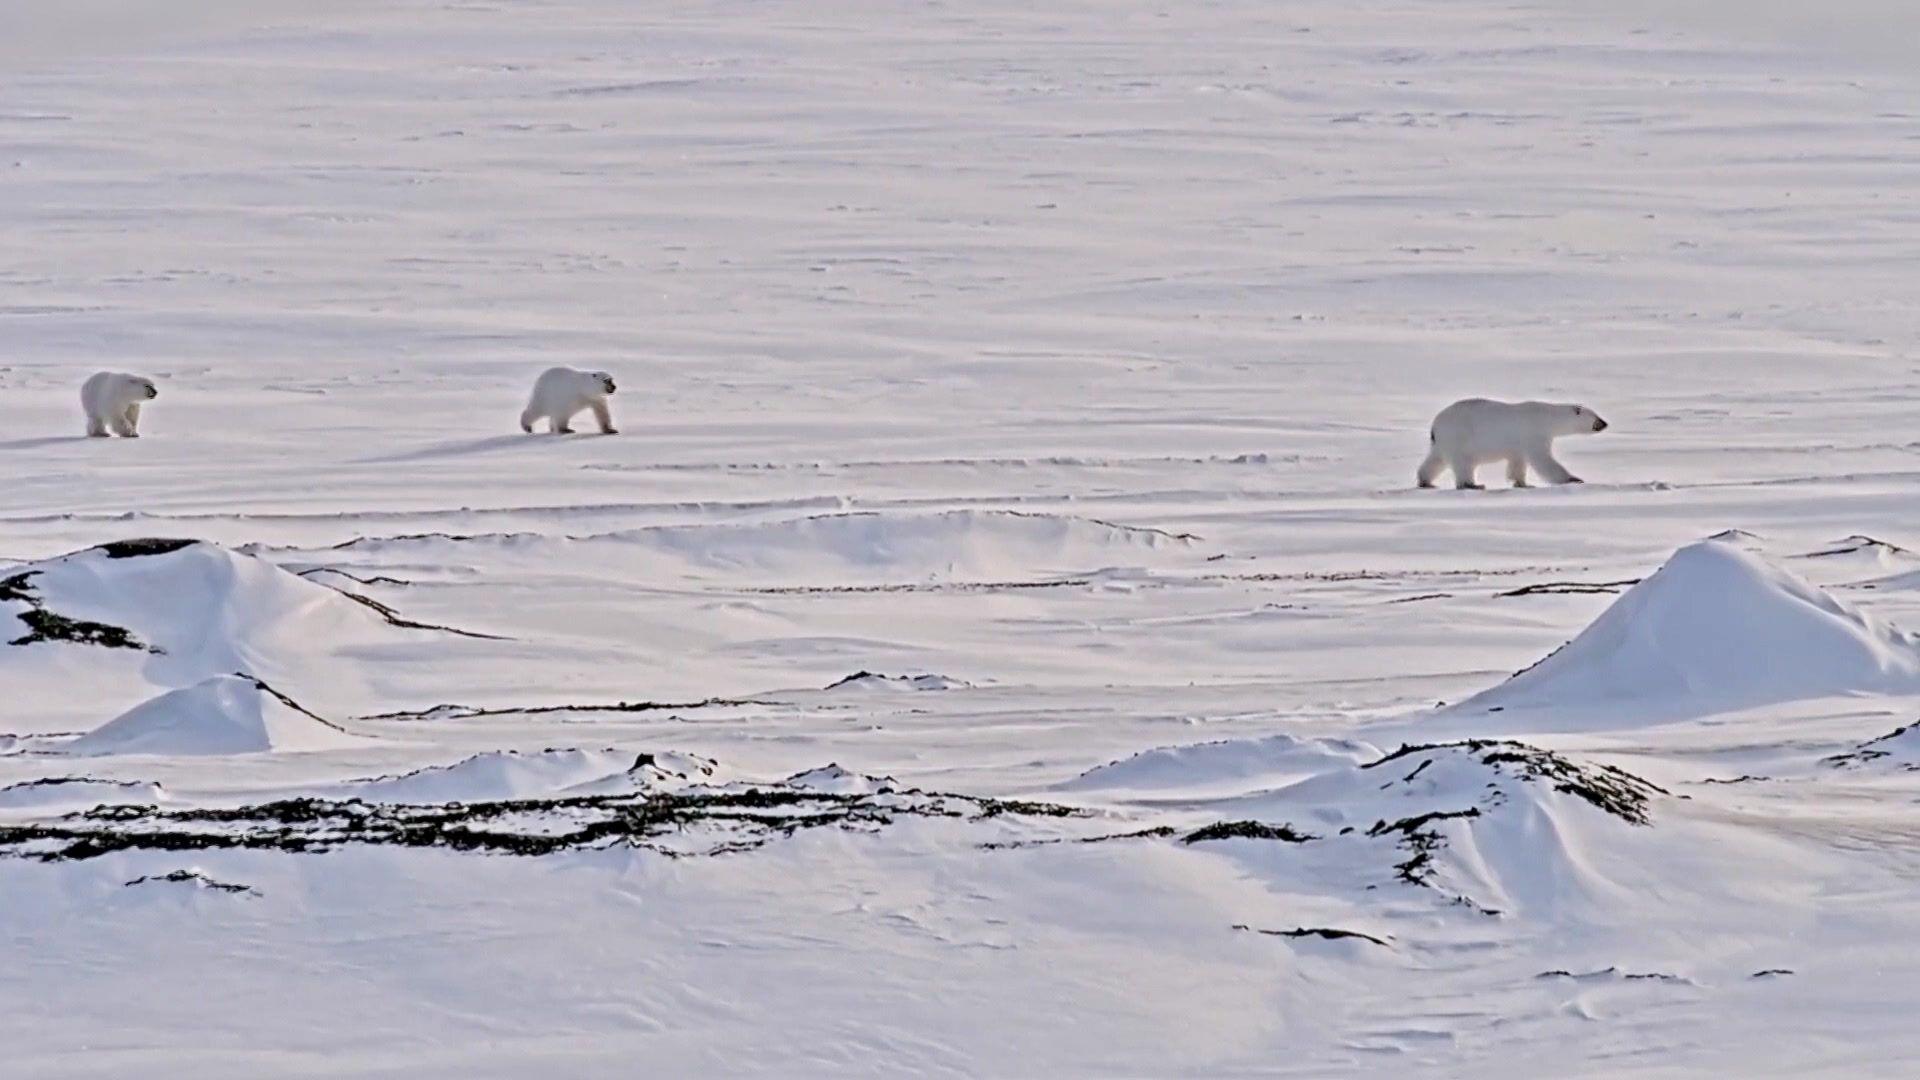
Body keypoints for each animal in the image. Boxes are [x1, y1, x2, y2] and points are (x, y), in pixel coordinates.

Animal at [1416, 398, 1607, 490]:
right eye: (1596, 417)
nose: (1605, 423)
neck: (1547, 417)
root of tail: (1435, 426)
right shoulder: (1534, 433)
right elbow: (1543, 460)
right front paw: (1574, 479)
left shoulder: (1519, 445)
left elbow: (1517, 462)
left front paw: (1523, 483)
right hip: (1458, 436)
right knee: (1463, 464)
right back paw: (1474, 485)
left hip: (1443, 442)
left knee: (1435, 460)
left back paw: (1426, 481)